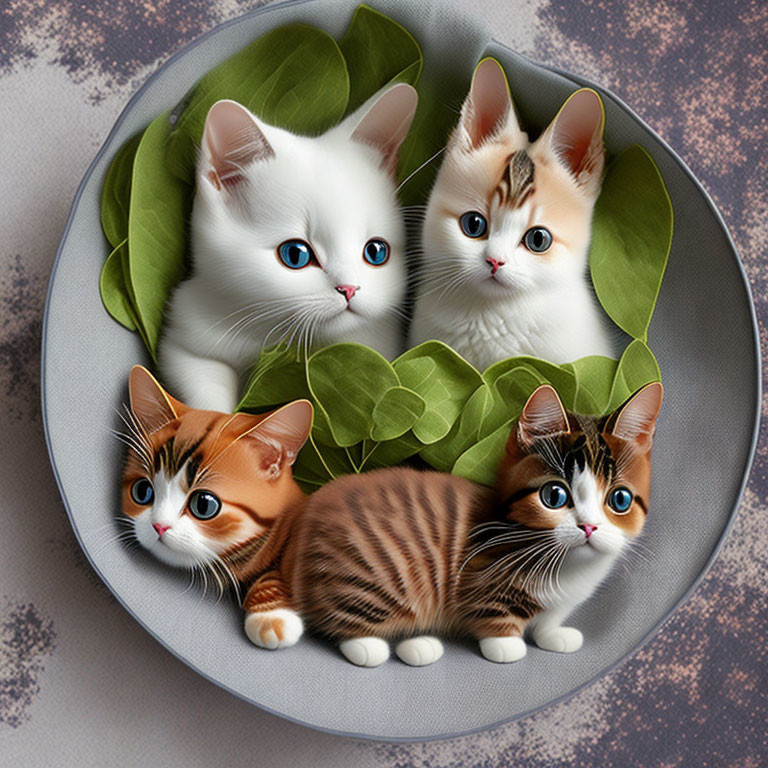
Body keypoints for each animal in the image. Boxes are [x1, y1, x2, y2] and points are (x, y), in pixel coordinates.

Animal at [158, 84, 416, 414]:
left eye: (376, 252)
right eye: (296, 255)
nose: (349, 289)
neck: (278, 336)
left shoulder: (375, 347)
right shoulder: (186, 334)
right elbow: (204, 390)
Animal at [255, 382, 664, 664]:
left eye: (619, 500)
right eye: (554, 496)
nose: (589, 527)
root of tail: (303, 521)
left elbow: (549, 621)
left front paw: (554, 636)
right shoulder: (481, 579)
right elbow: (493, 615)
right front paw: (507, 645)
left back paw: (419, 645)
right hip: (369, 574)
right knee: (340, 619)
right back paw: (373, 646)